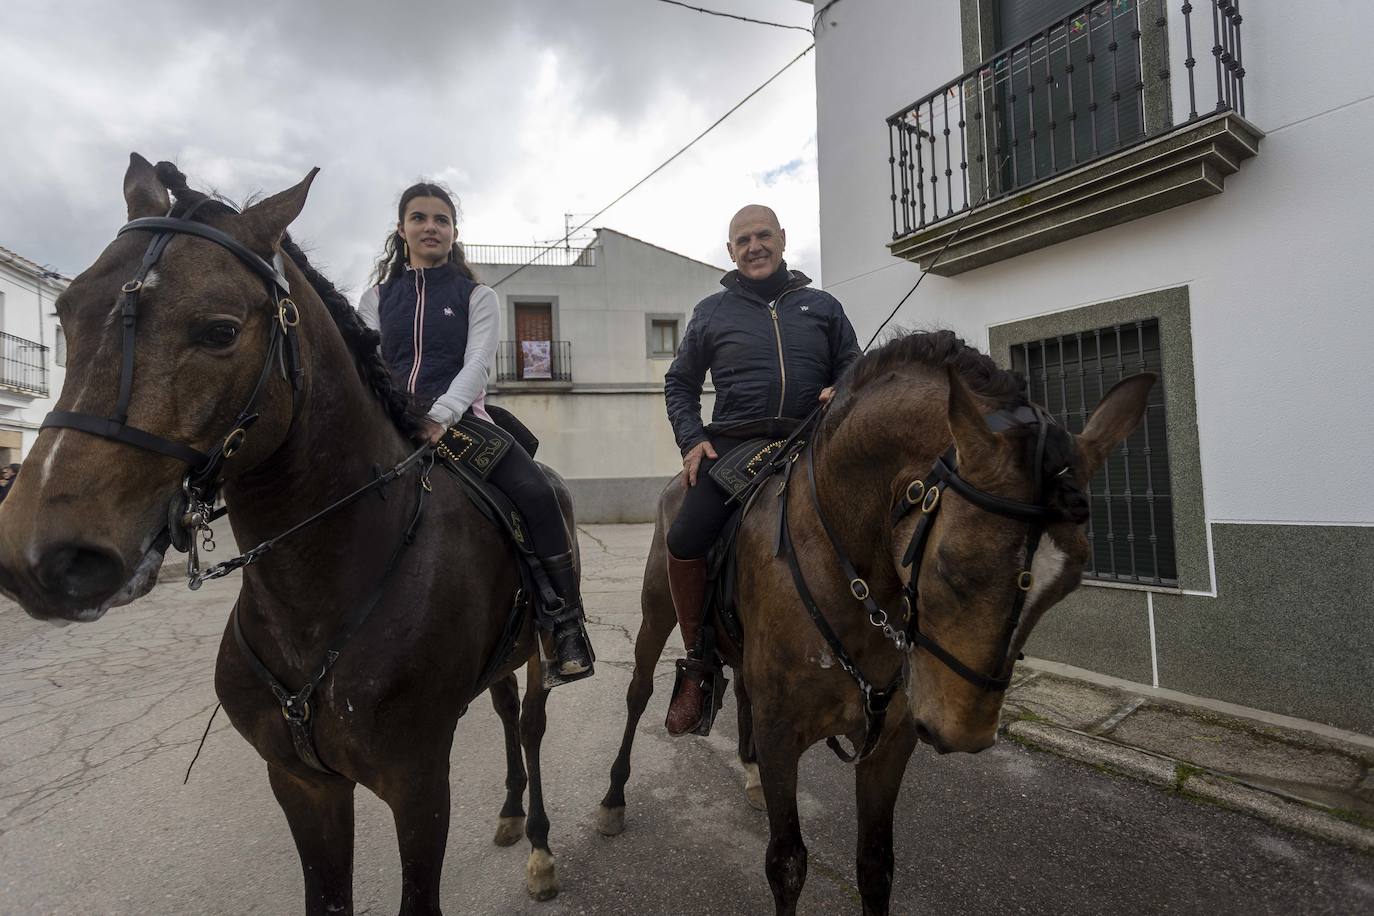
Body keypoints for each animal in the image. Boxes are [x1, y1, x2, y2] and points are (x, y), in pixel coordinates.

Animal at [0, 157, 574, 916]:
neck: (318, 594)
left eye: (218, 330)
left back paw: (539, 845)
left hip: (539, 650)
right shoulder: (302, 784)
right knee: (507, 712)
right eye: (66, 313)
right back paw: (509, 815)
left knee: (532, 725)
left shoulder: (420, 786)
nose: (40, 556)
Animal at [596, 329, 1154, 916]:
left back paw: (747, 774)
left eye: (1068, 581)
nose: (964, 733)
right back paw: (614, 798)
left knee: (742, 691)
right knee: (638, 693)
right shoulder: (781, 734)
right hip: (657, 612)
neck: (851, 570)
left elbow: (876, 867)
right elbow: (787, 864)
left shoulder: (889, 743)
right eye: (950, 565)